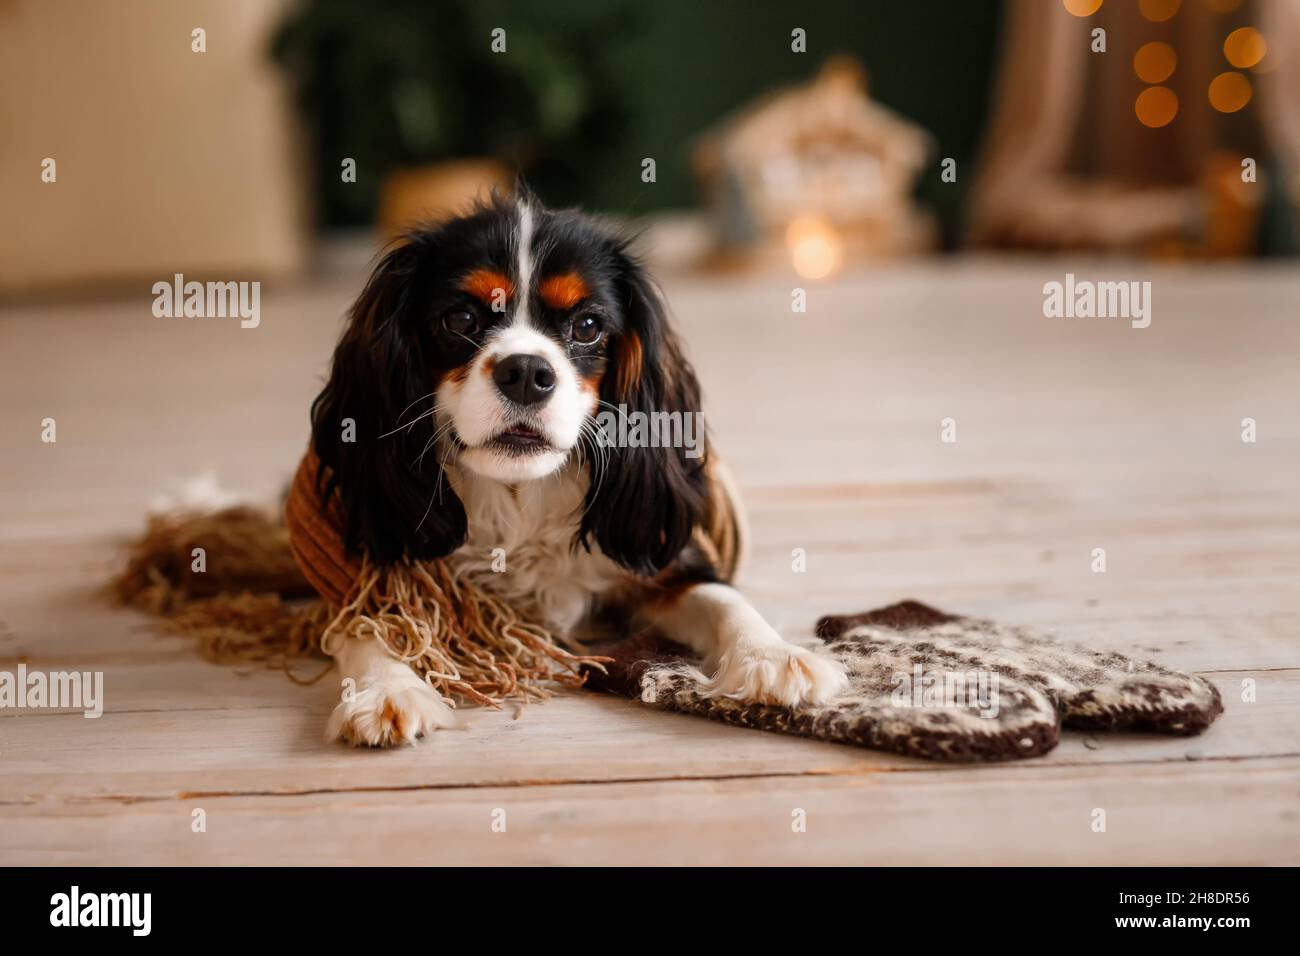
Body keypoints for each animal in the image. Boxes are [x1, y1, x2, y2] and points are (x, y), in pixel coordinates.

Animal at [308, 192, 847, 749]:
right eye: (460, 319)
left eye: (587, 326)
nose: (526, 371)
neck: (520, 494)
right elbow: (364, 620)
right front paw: (385, 689)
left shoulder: (657, 563)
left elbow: (721, 597)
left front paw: (774, 656)